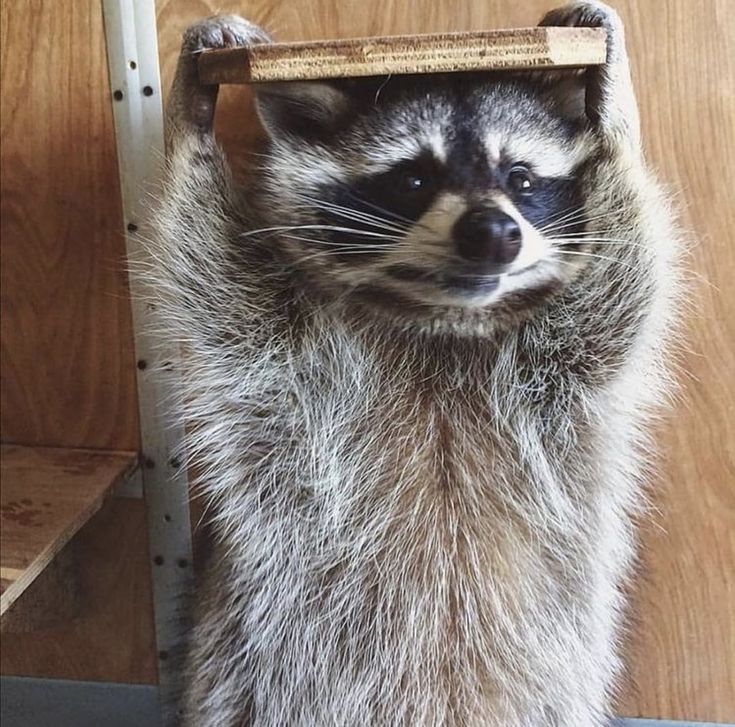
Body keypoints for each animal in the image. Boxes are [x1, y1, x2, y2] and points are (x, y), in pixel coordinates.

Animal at [151, 2, 681, 725]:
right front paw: (191, 124)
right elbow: (211, 271)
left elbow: (620, 276)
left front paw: (615, 117)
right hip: (234, 672)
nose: (493, 232)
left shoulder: (563, 371)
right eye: (413, 179)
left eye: (520, 178)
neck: (439, 325)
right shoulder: (285, 361)